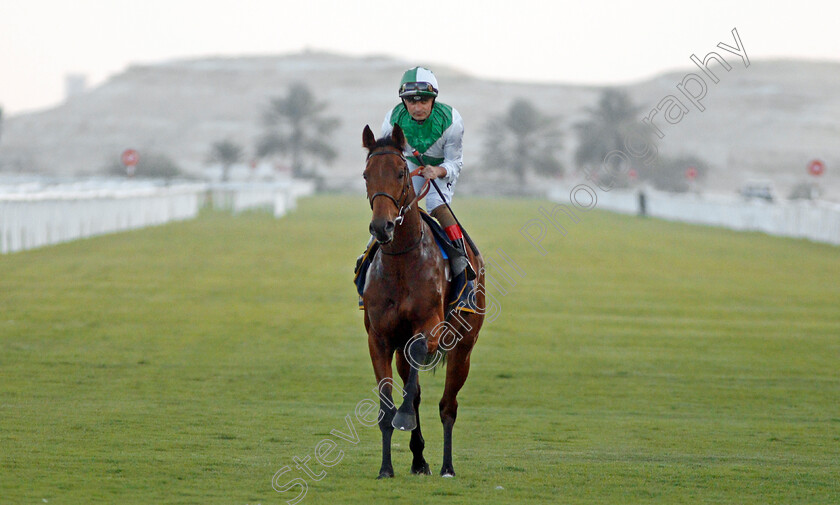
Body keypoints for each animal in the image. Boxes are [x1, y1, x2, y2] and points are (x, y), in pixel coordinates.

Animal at [360, 122, 486, 476]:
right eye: (366, 174)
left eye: (402, 172)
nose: (382, 226)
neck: (403, 263)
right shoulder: (380, 338)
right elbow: (388, 404)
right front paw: (386, 468)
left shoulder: (429, 326)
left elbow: (418, 358)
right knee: (414, 392)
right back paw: (419, 460)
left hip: (464, 347)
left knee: (448, 405)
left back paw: (447, 467)